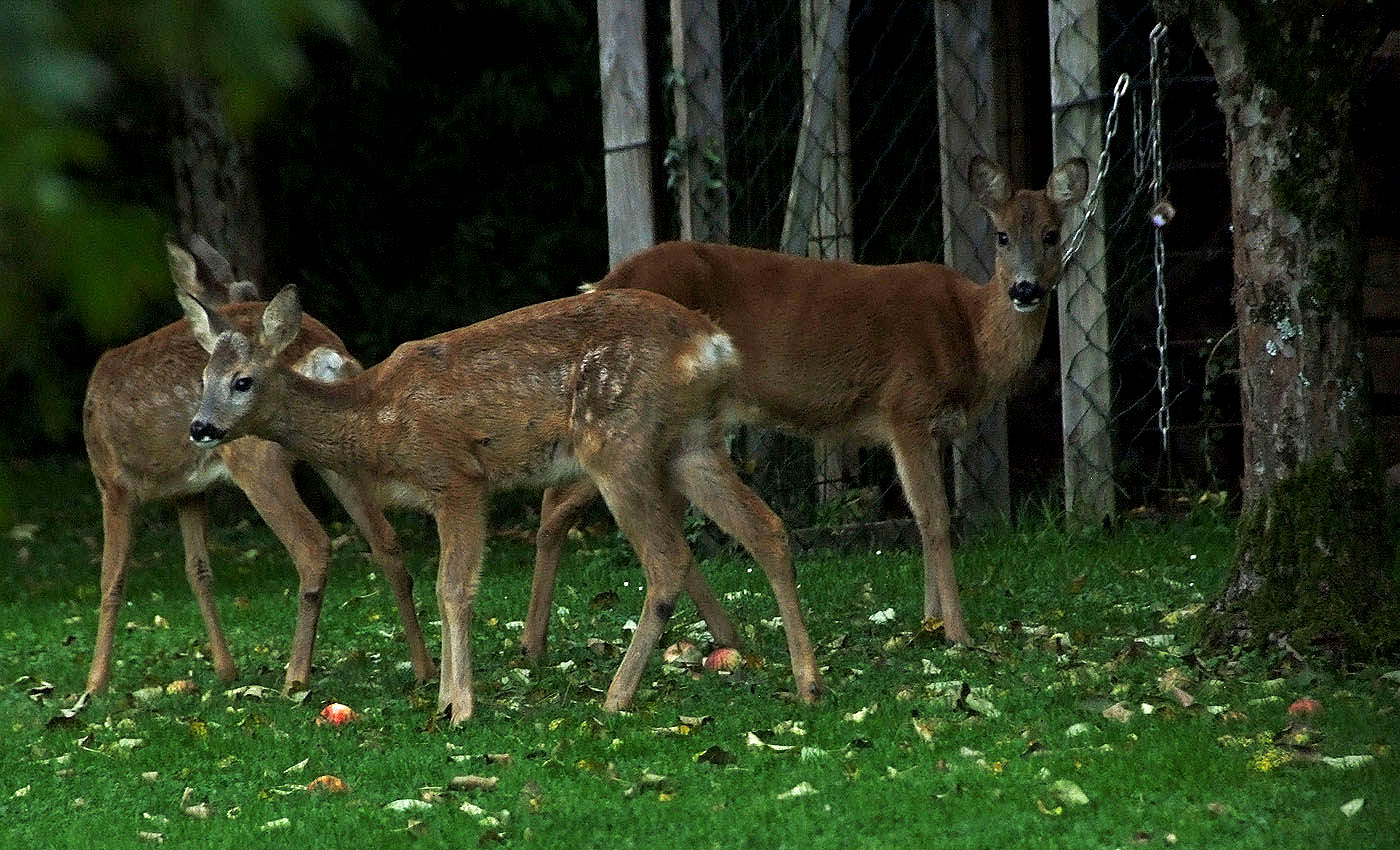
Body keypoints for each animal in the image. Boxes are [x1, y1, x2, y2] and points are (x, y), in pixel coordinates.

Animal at [81, 239, 431, 697]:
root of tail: (328, 354)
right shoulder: (189, 491)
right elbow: (199, 571)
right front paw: (225, 670)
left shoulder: (114, 483)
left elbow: (111, 579)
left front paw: (94, 684)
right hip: (336, 451)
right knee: (386, 541)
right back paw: (424, 669)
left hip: (256, 458)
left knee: (313, 545)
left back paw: (295, 677)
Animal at [179, 285, 823, 722]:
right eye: (202, 379)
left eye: (242, 380)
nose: (201, 427)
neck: (373, 422)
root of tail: (714, 346)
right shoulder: (438, 498)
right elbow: (443, 589)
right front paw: (444, 699)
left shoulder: (459, 477)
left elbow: (454, 589)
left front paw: (459, 706)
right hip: (691, 441)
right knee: (767, 528)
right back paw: (808, 683)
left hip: (618, 442)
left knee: (668, 560)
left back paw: (616, 697)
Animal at [523, 154, 1080, 652]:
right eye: (1002, 235)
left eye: (1052, 234)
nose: (1025, 288)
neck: (969, 330)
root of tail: (602, 284)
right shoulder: (906, 407)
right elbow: (936, 520)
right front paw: (958, 634)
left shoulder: (933, 427)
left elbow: (925, 519)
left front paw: (929, 620)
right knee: (556, 504)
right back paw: (534, 644)